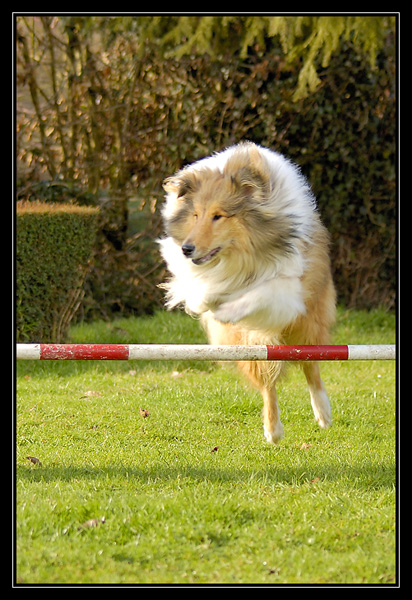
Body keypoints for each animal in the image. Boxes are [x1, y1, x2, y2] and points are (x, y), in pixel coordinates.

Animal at [158, 139, 334, 440]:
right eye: (195, 215)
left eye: (218, 216)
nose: (187, 249)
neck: (242, 255)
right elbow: (202, 286)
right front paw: (205, 298)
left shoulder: (290, 291)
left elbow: (260, 292)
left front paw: (228, 308)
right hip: (248, 343)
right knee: (268, 381)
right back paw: (273, 430)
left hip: (307, 323)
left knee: (310, 365)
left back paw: (322, 412)